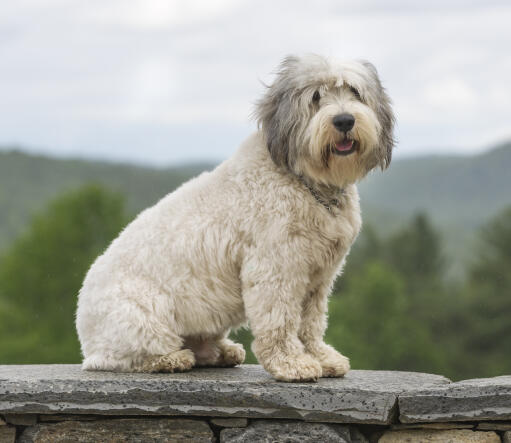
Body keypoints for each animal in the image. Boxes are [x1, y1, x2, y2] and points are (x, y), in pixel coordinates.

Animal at [76, 54, 396, 382]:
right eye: (316, 96)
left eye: (354, 92)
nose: (344, 120)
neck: (303, 180)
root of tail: (86, 337)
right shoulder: (276, 269)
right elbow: (280, 321)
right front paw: (291, 363)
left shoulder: (317, 279)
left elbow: (310, 323)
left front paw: (321, 357)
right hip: (143, 316)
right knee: (125, 358)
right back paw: (172, 359)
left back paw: (220, 352)